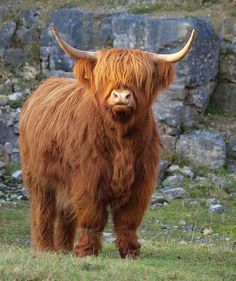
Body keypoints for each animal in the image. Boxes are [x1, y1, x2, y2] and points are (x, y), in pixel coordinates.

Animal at [19, 24, 195, 258]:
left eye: (141, 79)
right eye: (105, 76)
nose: (121, 96)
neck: (120, 139)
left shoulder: (141, 180)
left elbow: (128, 219)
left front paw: (130, 251)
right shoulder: (88, 178)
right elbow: (92, 215)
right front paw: (87, 250)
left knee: (66, 213)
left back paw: (64, 249)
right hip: (39, 177)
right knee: (43, 211)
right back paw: (45, 248)